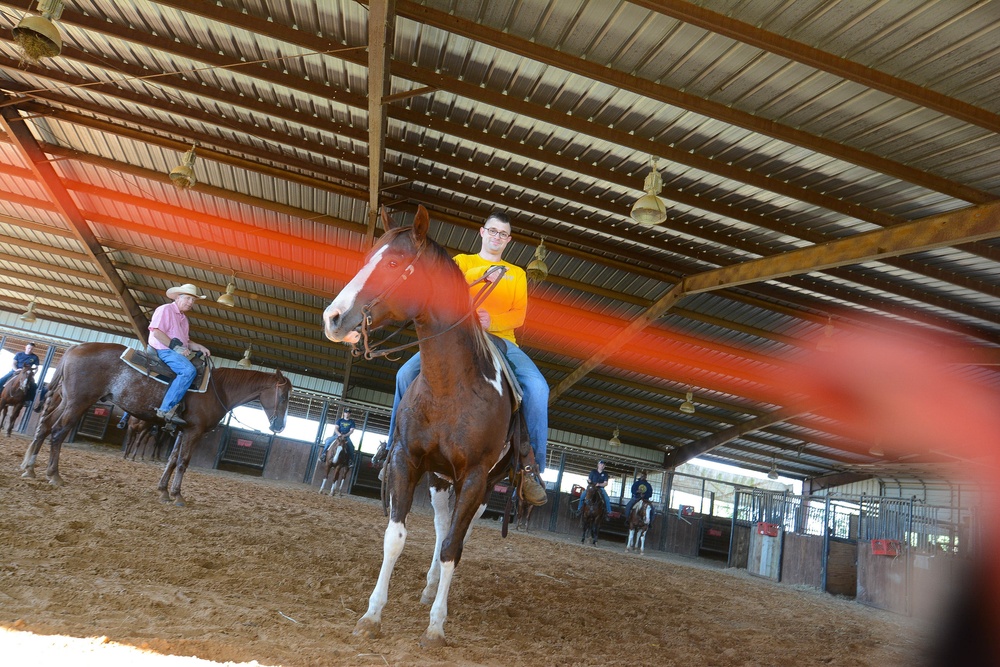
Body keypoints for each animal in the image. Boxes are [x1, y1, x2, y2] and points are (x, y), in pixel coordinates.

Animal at [19, 342, 292, 504]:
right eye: (284, 396)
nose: (279, 426)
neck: (219, 389)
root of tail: (76, 348)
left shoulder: (182, 430)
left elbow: (171, 460)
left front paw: (163, 491)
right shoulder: (194, 432)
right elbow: (183, 462)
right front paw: (178, 495)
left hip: (67, 400)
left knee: (45, 426)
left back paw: (30, 468)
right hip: (78, 403)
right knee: (57, 432)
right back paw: (54, 475)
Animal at [326, 205, 532, 648]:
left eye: (392, 263)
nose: (333, 318)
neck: (450, 386)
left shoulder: (474, 476)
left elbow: (455, 545)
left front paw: (437, 625)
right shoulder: (408, 461)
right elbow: (396, 537)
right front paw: (371, 616)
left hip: (486, 483)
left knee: (458, 532)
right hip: (439, 478)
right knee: (441, 526)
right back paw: (429, 585)